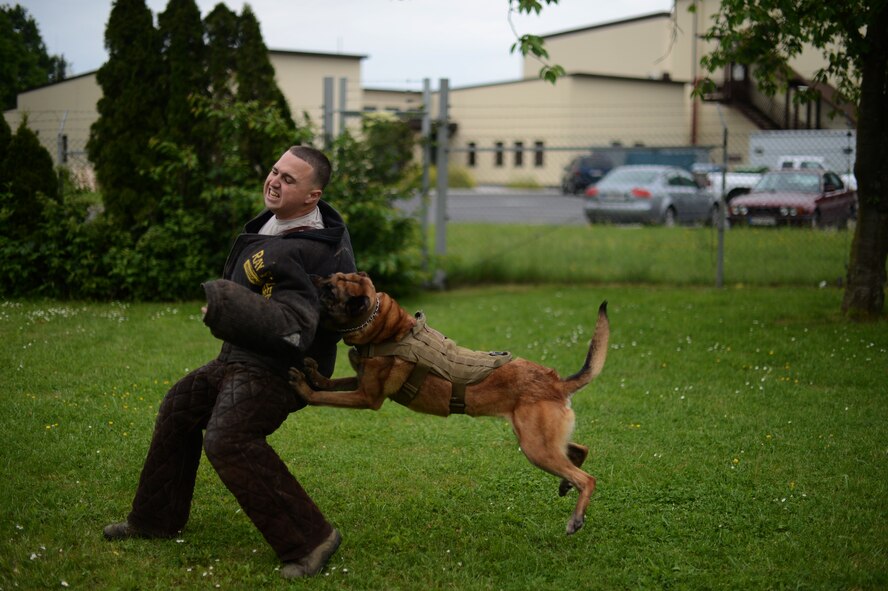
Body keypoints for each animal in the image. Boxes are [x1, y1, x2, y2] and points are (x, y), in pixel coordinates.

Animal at [292, 272, 612, 536]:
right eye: (331, 278)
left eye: (330, 290)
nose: (312, 278)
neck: (387, 329)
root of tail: (556, 382)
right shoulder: (360, 383)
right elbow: (331, 383)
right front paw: (313, 372)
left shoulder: (366, 398)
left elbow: (324, 397)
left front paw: (304, 388)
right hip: (541, 441)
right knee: (580, 451)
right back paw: (566, 484)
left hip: (535, 447)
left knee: (588, 478)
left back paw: (576, 518)